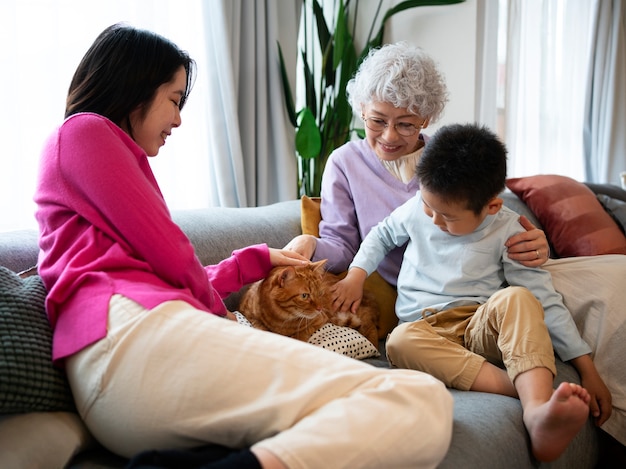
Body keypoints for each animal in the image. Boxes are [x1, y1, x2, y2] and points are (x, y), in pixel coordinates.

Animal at [238, 260, 378, 344]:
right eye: (305, 296)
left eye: (320, 293)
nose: (320, 308)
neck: (282, 320)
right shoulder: (247, 313)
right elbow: (260, 327)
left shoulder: (320, 319)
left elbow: (303, 332)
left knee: (371, 330)